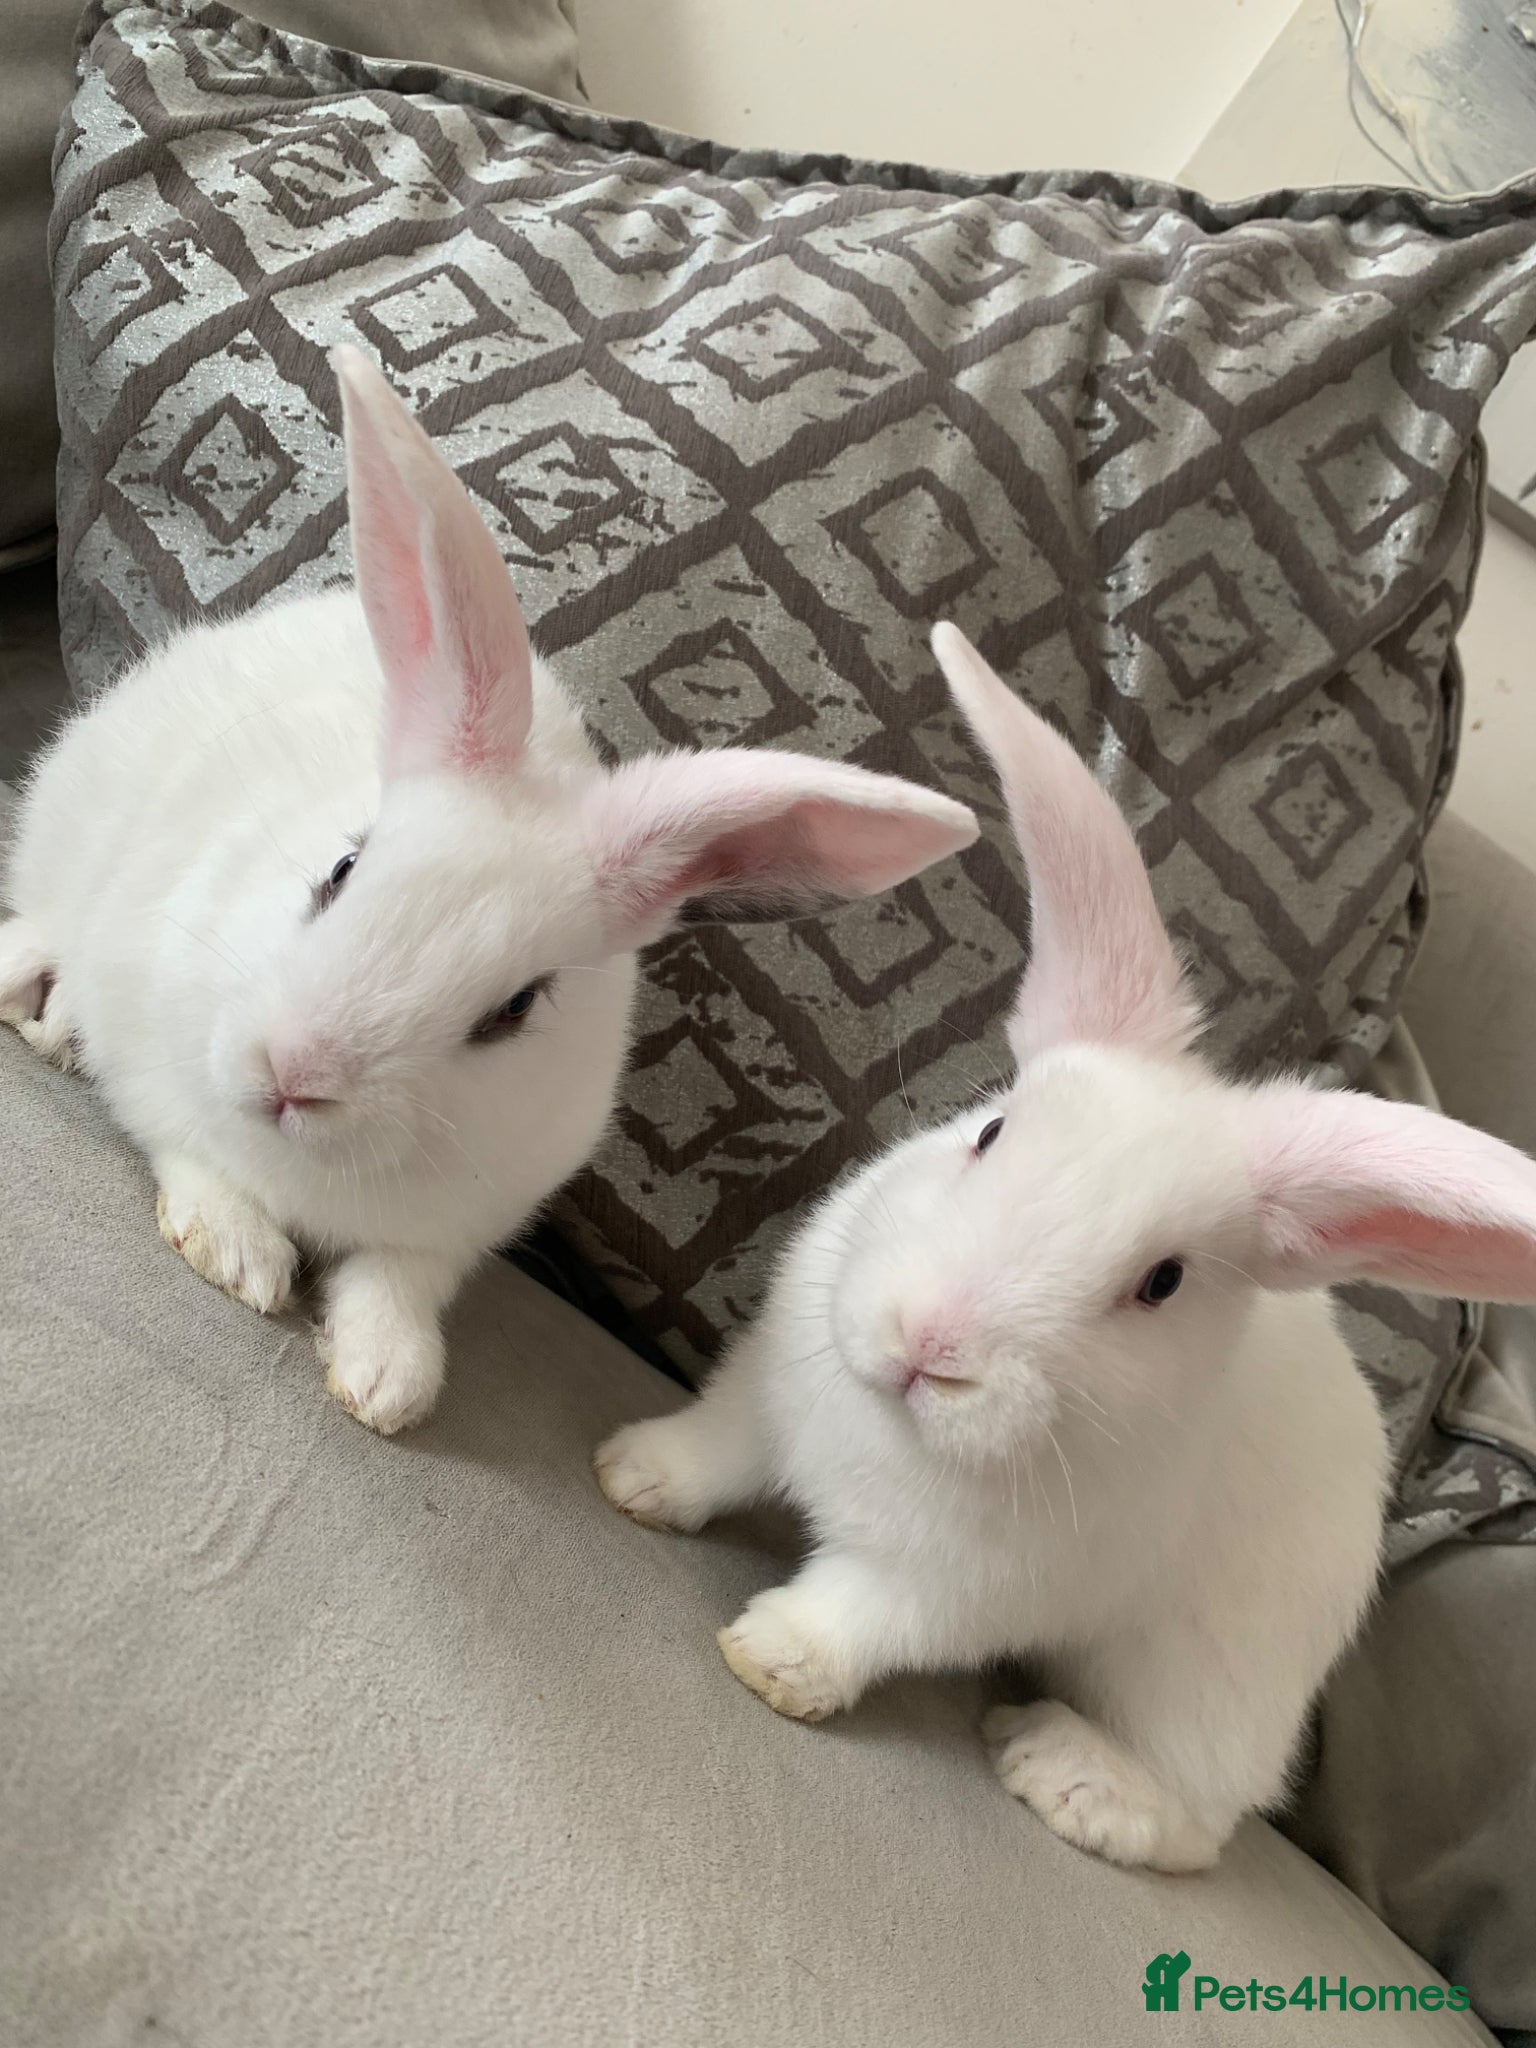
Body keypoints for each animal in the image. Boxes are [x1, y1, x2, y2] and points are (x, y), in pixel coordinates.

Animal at [0, 348, 978, 1437]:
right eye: (342, 871)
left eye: (514, 1009)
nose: (294, 1071)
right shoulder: (152, 1063)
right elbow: (184, 1145)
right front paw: (242, 1259)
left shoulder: (456, 1226)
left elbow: (400, 1280)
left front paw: (387, 1381)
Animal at [594, 621, 1536, 1873]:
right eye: (991, 1130)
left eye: (1161, 1282)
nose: (930, 1343)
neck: (896, 1428)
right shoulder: (761, 1392)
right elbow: (710, 1448)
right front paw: (633, 1476)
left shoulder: (948, 1588)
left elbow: (855, 1616)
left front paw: (770, 1660)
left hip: (1202, 1687)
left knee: (1196, 1821)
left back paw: (1062, 1770)